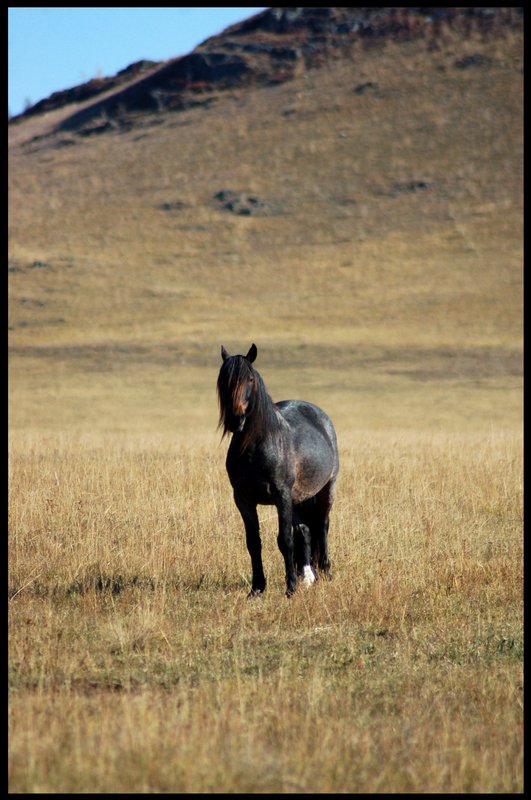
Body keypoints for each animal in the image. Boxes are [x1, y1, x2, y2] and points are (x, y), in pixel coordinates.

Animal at [217, 340, 338, 596]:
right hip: (298, 498)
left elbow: (285, 541)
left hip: (326, 490)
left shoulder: (281, 496)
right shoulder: (243, 499)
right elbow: (253, 543)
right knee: (305, 530)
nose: (235, 419)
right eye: (223, 380)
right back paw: (307, 576)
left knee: (322, 527)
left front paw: (290, 588)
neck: (256, 447)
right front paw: (257, 588)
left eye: (249, 379)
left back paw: (325, 572)